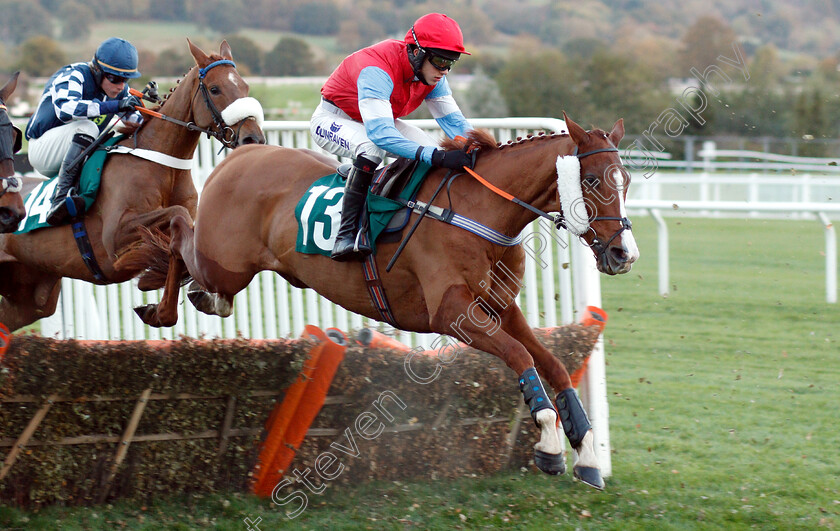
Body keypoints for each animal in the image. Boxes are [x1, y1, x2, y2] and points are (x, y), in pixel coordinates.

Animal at [0, 41, 266, 330]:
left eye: (245, 87)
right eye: (215, 89)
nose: (253, 138)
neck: (162, 165)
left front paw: (182, 299)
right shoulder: (115, 239)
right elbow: (177, 218)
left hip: (32, 296)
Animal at [123, 114, 636, 488]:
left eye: (626, 179)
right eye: (592, 180)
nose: (623, 254)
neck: (481, 212)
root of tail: (242, 153)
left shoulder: (499, 308)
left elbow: (551, 362)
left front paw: (586, 452)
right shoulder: (452, 315)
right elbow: (520, 356)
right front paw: (549, 445)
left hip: (227, 270)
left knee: (197, 272)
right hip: (222, 261)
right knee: (178, 231)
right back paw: (156, 292)